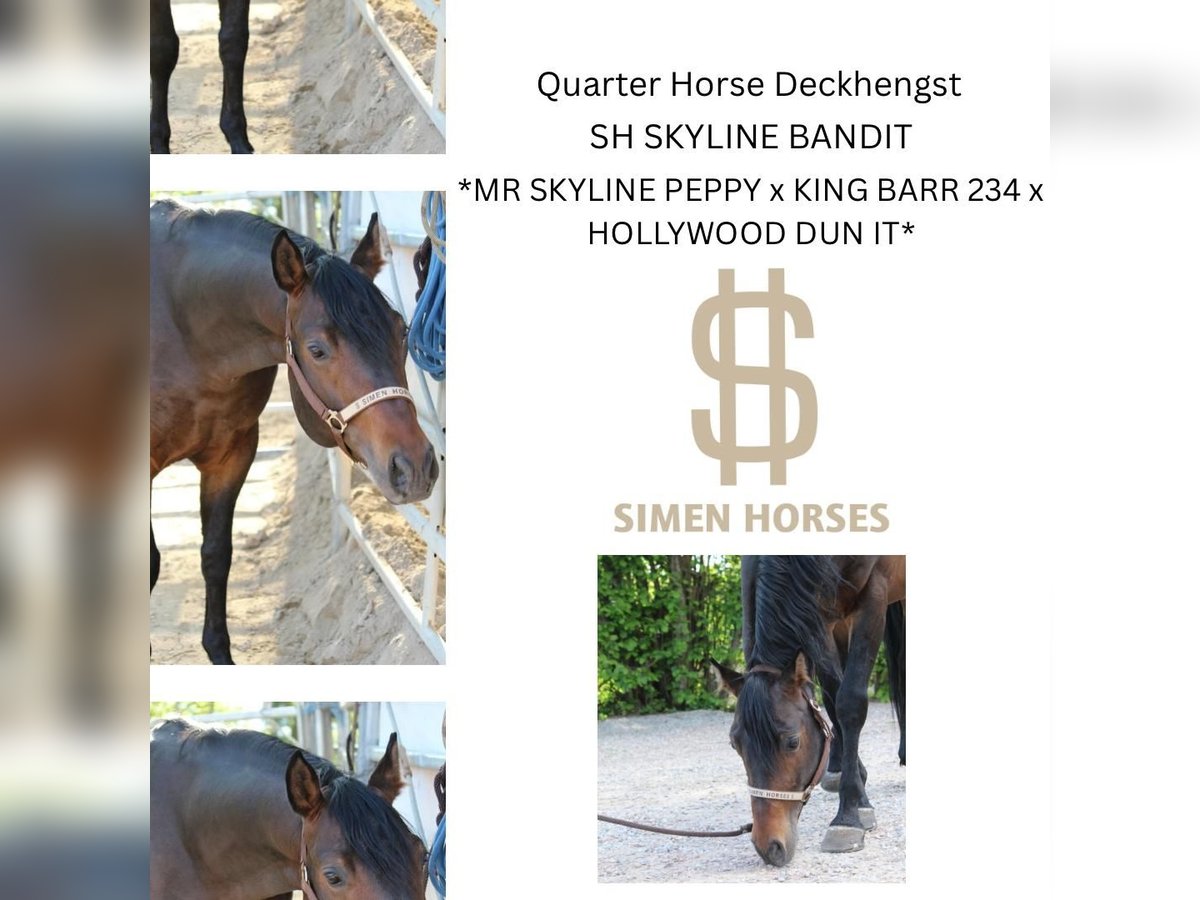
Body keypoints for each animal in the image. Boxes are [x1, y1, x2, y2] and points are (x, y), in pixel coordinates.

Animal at [150, 199, 438, 664]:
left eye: (403, 332)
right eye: (317, 350)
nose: (414, 468)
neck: (182, 328)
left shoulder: (233, 453)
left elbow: (216, 554)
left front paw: (219, 652)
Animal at [713, 555, 905, 866]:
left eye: (793, 742)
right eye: (734, 744)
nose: (769, 846)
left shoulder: (874, 596)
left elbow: (850, 702)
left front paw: (848, 817)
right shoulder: (821, 616)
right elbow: (832, 697)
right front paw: (859, 793)